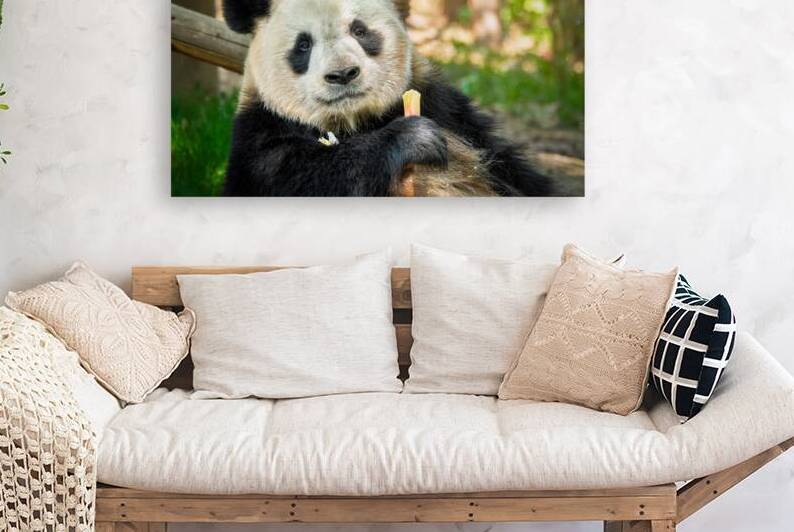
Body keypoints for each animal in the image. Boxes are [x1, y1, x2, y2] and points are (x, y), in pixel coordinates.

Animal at [222, 0, 552, 197]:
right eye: (303, 44)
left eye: (359, 30)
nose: (343, 74)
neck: (355, 121)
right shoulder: (262, 137)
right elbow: (308, 177)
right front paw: (413, 138)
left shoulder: (446, 108)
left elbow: (515, 174)